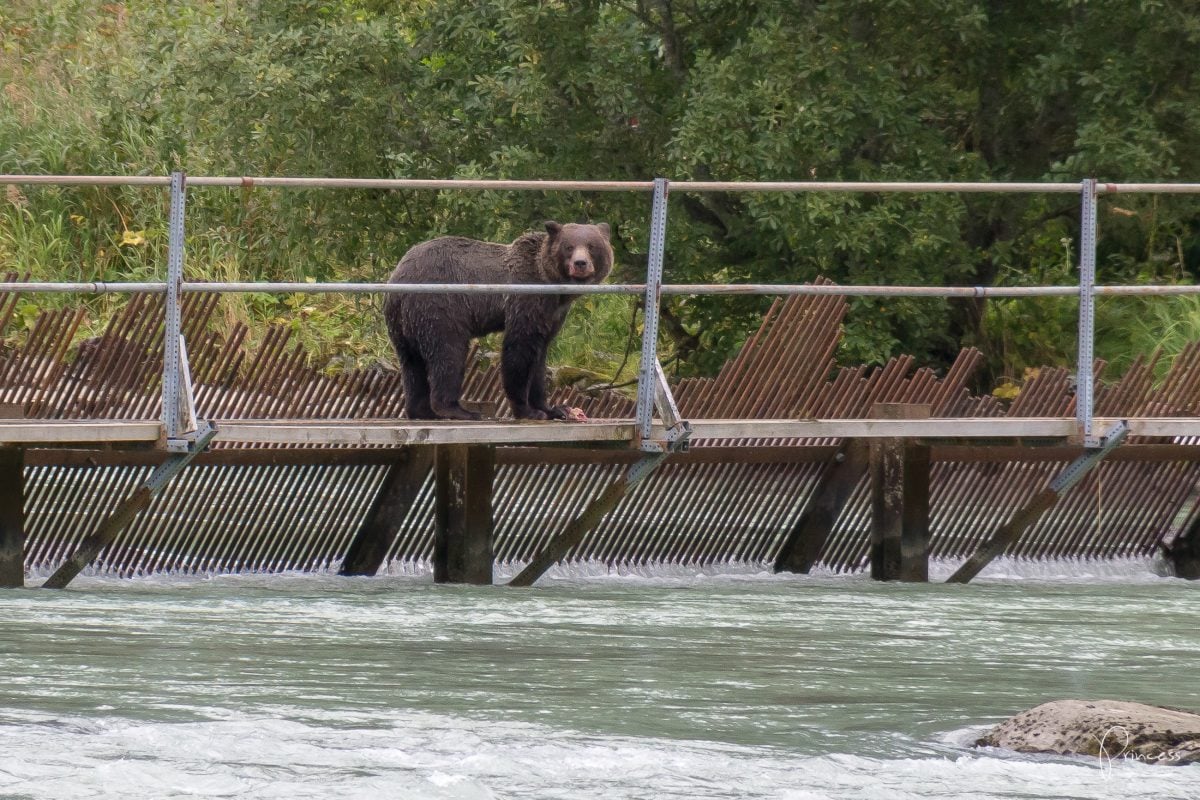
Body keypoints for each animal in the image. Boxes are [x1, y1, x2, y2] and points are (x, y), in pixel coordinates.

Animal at [384, 219, 614, 419]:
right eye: (569, 246)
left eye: (592, 246)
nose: (580, 263)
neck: (554, 286)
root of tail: (399, 277)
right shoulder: (526, 298)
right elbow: (519, 350)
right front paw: (527, 410)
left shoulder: (553, 313)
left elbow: (540, 357)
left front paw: (553, 409)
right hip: (439, 307)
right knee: (448, 353)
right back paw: (460, 411)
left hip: (402, 323)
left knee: (411, 363)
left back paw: (421, 411)